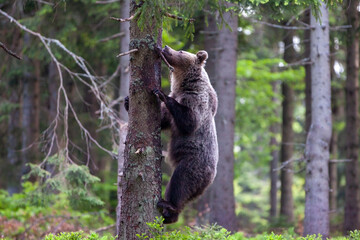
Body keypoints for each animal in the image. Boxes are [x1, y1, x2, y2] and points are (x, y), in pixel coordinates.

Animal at [153, 46, 219, 224]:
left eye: (181, 51)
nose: (165, 47)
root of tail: (211, 179)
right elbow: (163, 119)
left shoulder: (197, 100)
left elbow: (189, 122)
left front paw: (161, 93)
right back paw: (170, 215)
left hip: (193, 163)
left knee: (180, 182)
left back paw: (168, 206)